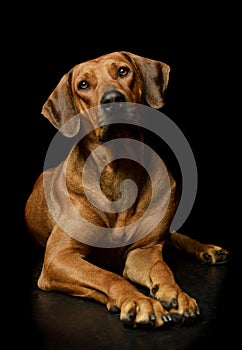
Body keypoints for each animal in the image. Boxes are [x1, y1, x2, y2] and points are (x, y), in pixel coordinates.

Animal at [25, 51, 229, 328]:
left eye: (123, 71)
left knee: (173, 236)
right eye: (83, 85)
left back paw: (207, 249)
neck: (118, 171)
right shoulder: (59, 258)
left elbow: (162, 269)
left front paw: (176, 294)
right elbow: (108, 276)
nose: (112, 99)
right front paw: (140, 301)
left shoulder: (143, 252)